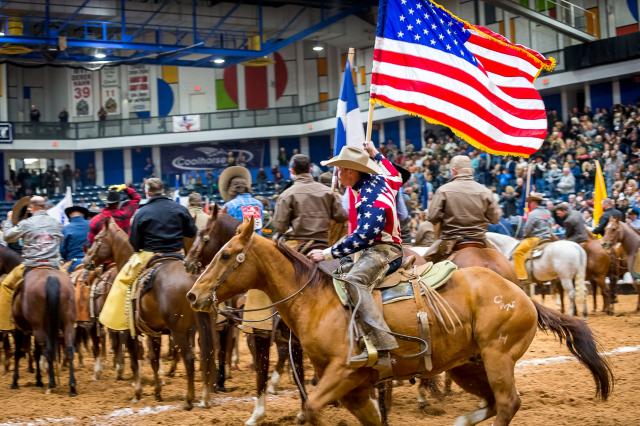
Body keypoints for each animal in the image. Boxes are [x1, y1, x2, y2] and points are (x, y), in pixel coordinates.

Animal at [83, 218, 215, 408]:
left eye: (97, 239)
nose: (86, 261)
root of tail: (192, 278)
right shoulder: (154, 332)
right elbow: (153, 359)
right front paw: (157, 391)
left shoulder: (128, 332)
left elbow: (134, 360)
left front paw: (137, 392)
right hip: (203, 327)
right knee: (208, 355)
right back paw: (205, 396)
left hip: (179, 331)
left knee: (189, 358)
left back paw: (189, 400)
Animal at [189, 220, 616, 426]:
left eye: (226, 254)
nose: (193, 294)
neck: (319, 301)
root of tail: (522, 295)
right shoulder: (355, 388)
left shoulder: (343, 373)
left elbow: (309, 410)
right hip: (466, 364)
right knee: (494, 402)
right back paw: (461, 420)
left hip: (497, 357)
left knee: (508, 403)